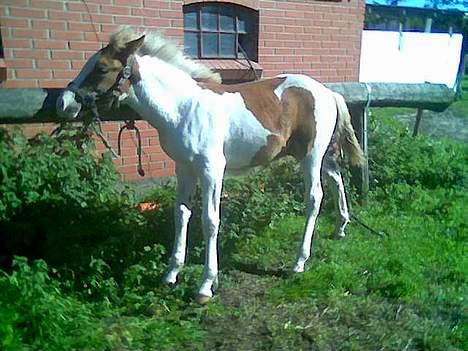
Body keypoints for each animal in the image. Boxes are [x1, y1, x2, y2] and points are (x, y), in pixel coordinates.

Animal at [57, 27, 366, 304]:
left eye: (101, 68)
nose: (64, 103)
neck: (182, 108)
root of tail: (327, 92)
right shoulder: (184, 168)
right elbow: (182, 214)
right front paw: (171, 274)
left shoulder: (211, 170)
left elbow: (210, 220)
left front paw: (206, 285)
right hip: (316, 155)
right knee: (337, 179)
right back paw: (340, 227)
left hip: (311, 156)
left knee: (314, 198)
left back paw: (298, 263)